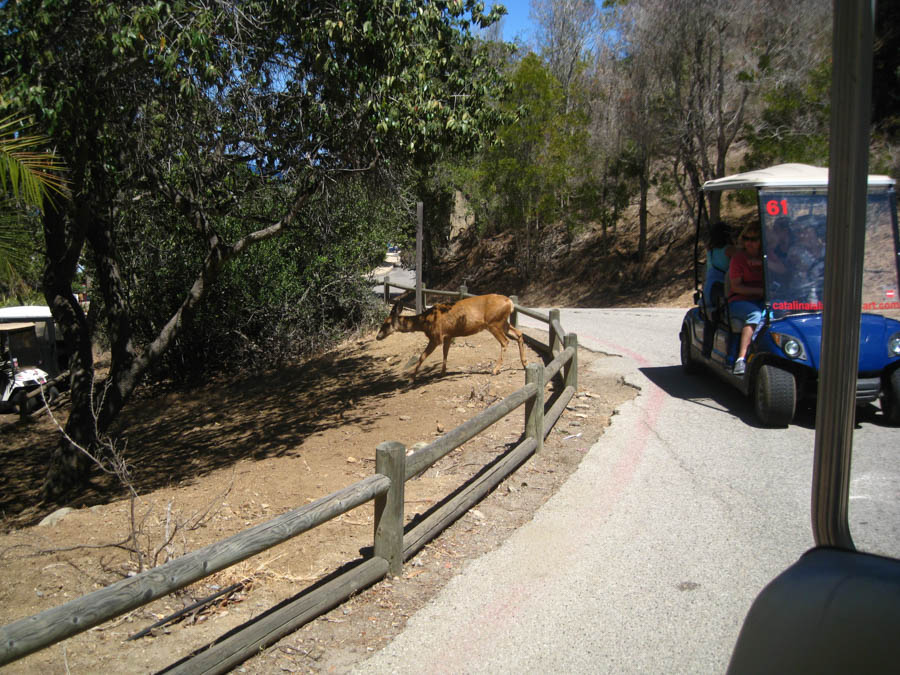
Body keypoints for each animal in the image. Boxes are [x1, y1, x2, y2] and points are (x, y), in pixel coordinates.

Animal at [374, 294, 528, 382]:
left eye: (386, 323)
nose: (377, 336)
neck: (425, 322)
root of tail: (510, 303)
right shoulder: (448, 335)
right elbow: (445, 353)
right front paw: (442, 373)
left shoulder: (436, 337)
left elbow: (422, 356)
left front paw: (411, 379)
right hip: (503, 322)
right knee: (519, 334)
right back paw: (524, 364)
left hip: (494, 323)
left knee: (505, 341)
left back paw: (495, 370)